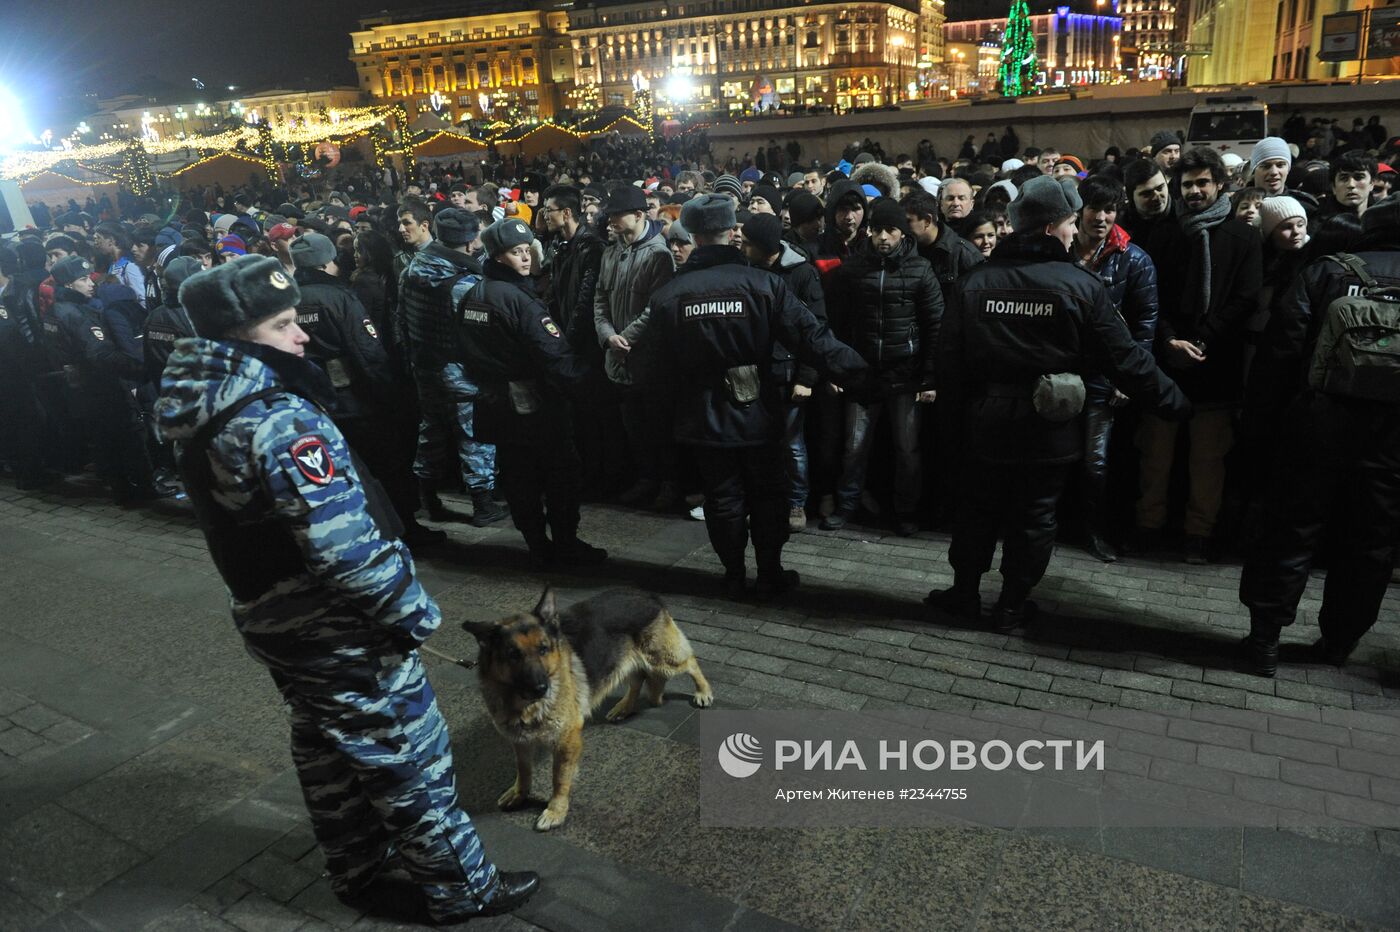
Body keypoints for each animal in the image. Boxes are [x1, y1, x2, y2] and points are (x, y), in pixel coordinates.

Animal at [464, 582, 716, 828]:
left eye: (544, 649)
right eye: (513, 655)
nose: (541, 688)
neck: (521, 702)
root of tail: (646, 593)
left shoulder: (567, 739)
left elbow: (559, 777)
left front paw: (556, 810)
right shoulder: (520, 741)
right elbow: (523, 770)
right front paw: (519, 793)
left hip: (662, 659)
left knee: (691, 662)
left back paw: (703, 691)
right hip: (624, 661)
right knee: (639, 679)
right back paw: (625, 707)